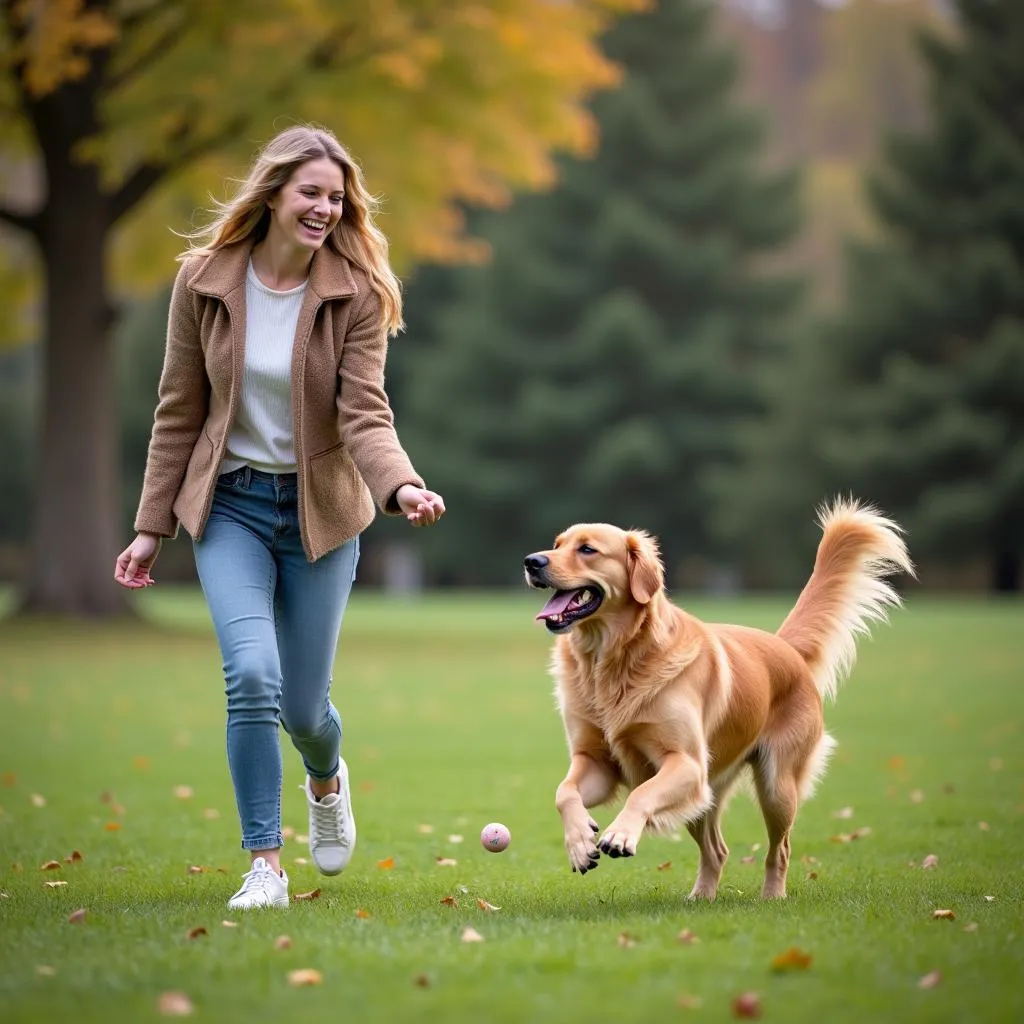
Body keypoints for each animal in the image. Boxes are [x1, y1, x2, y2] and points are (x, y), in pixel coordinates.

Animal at [524, 499, 917, 901]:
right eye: (557, 544)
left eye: (587, 549)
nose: (532, 561)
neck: (612, 661)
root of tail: (785, 647)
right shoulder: (595, 761)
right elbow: (563, 792)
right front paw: (579, 842)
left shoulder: (686, 763)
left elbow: (642, 794)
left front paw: (620, 834)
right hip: (706, 797)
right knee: (717, 850)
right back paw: (701, 897)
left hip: (775, 787)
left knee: (780, 848)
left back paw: (773, 897)